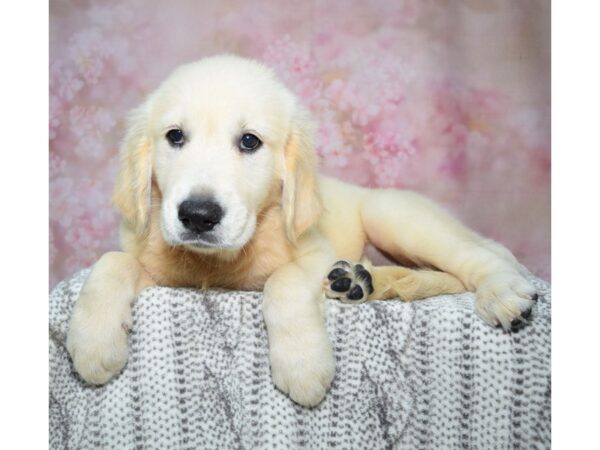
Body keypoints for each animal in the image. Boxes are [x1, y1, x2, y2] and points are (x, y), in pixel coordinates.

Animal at [67, 53, 540, 408]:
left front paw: (302, 366)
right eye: (175, 136)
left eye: (250, 141)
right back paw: (358, 279)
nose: (198, 216)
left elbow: (284, 281)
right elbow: (110, 263)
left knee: (479, 256)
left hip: (396, 216)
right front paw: (93, 343)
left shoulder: (315, 253)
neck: (220, 262)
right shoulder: (155, 266)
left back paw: (502, 293)